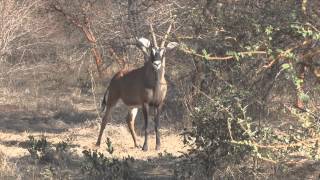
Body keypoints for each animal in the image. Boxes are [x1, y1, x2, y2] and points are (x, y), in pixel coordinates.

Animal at [96, 22, 179, 152]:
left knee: (129, 120)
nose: (156, 64)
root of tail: (115, 77)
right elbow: (146, 125)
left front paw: (158, 146)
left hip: (133, 106)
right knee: (105, 119)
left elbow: (157, 125)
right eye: (151, 51)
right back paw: (98, 143)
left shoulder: (159, 104)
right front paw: (145, 147)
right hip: (112, 101)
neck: (155, 83)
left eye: (163, 52)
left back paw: (136, 144)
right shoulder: (145, 104)